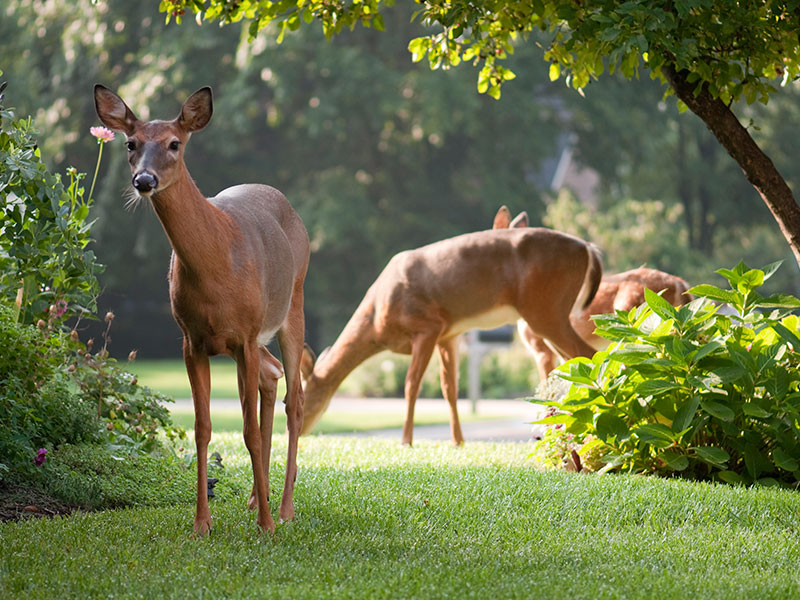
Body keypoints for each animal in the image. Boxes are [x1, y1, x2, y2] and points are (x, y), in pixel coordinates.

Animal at [94, 85, 310, 535]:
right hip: (250, 337)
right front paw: (201, 524)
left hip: (291, 303)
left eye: (175, 144)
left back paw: (283, 509)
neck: (216, 267)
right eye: (130, 143)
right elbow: (202, 429)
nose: (144, 180)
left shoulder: (245, 335)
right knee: (272, 375)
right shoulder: (191, 340)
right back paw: (255, 497)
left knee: (295, 398)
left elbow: (247, 430)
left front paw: (265, 525)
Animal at [299, 224, 603, 446]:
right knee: (573, 363)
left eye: (302, 395)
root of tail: (588, 248)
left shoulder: (427, 326)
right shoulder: (449, 335)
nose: (298, 431)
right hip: (549, 313)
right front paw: (458, 441)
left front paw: (406, 441)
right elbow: (450, 388)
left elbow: (411, 385)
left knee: (590, 354)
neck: (376, 320)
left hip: (545, 308)